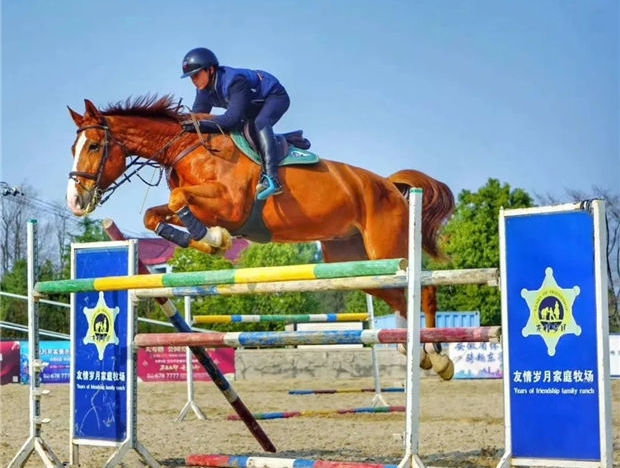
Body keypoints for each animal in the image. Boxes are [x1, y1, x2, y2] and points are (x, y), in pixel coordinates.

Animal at [66, 95, 456, 376]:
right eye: (74, 148)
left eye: (94, 146)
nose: (75, 201)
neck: (188, 150)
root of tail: (389, 184)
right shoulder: (205, 206)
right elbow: (155, 215)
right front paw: (209, 239)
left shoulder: (231, 205)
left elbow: (179, 200)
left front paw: (213, 238)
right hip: (353, 260)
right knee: (399, 296)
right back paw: (412, 352)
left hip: (386, 249)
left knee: (424, 289)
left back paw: (438, 356)